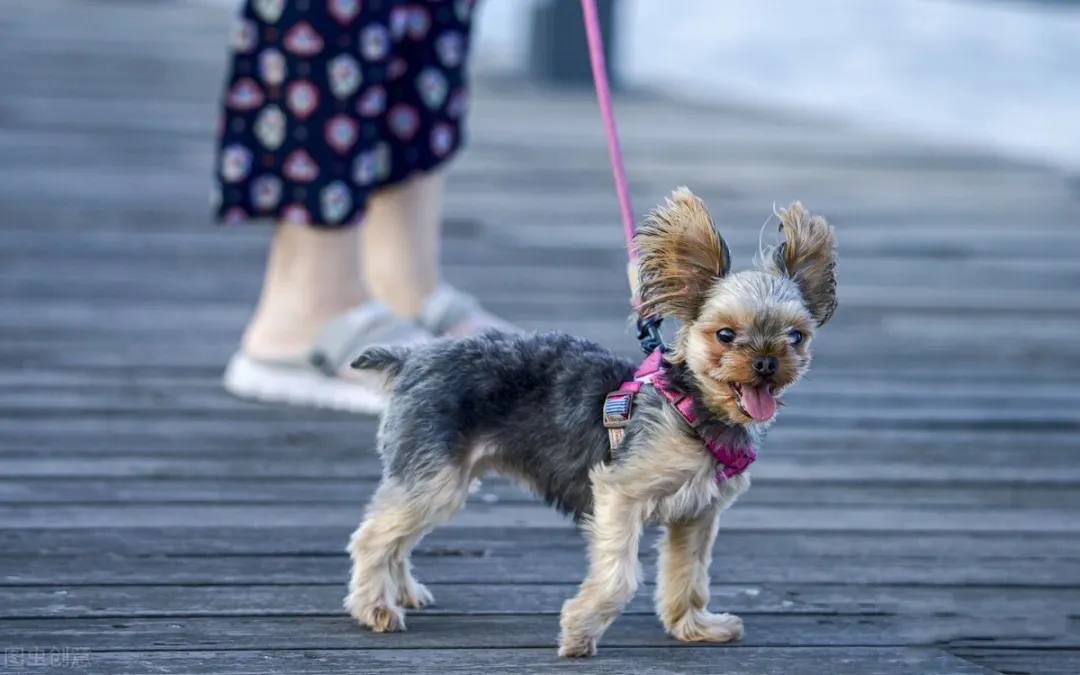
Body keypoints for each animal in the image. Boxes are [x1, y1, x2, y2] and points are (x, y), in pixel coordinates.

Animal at [343, 186, 833, 656]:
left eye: (796, 336)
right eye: (725, 335)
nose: (767, 363)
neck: (692, 408)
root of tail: (411, 358)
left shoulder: (696, 515)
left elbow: (688, 576)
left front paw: (693, 626)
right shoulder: (619, 494)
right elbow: (619, 577)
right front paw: (579, 633)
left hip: (439, 477)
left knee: (396, 534)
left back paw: (402, 593)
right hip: (437, 477)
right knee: (372, 537)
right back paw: (374, 608)